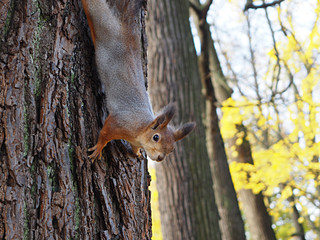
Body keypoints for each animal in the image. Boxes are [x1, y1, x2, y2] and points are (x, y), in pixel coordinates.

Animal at [81, 0, 196, 162]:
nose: (160, 158)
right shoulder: (119, 123)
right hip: (101, 19)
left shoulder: (134, 140)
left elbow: (134, 147)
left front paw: (137, 153)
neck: (141, 129)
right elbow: (104, 133)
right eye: (156, 137)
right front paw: (98, 148)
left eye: (172, 149)